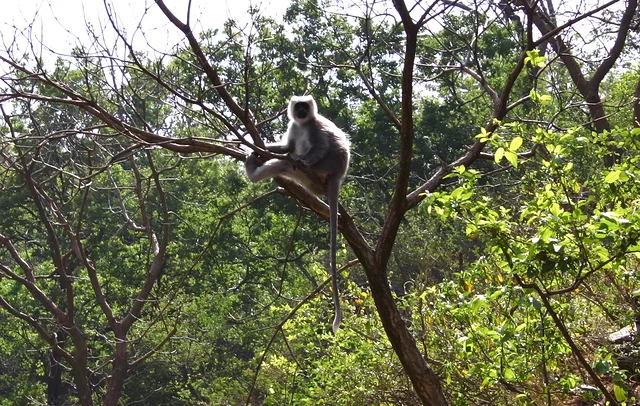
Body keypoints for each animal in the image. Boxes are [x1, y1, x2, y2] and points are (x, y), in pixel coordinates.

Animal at [245, 95, 350, 333]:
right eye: (298, 106)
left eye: (305, 106)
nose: (301, 111)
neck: (303, 123)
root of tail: (338, 175)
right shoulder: (295, 126)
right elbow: (287, 146)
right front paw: (256, 148)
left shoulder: (315, 127)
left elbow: (320, 145)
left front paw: (304, 158)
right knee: (285, 162)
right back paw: (253, 169)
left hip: (326, 165)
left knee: (299, 157)